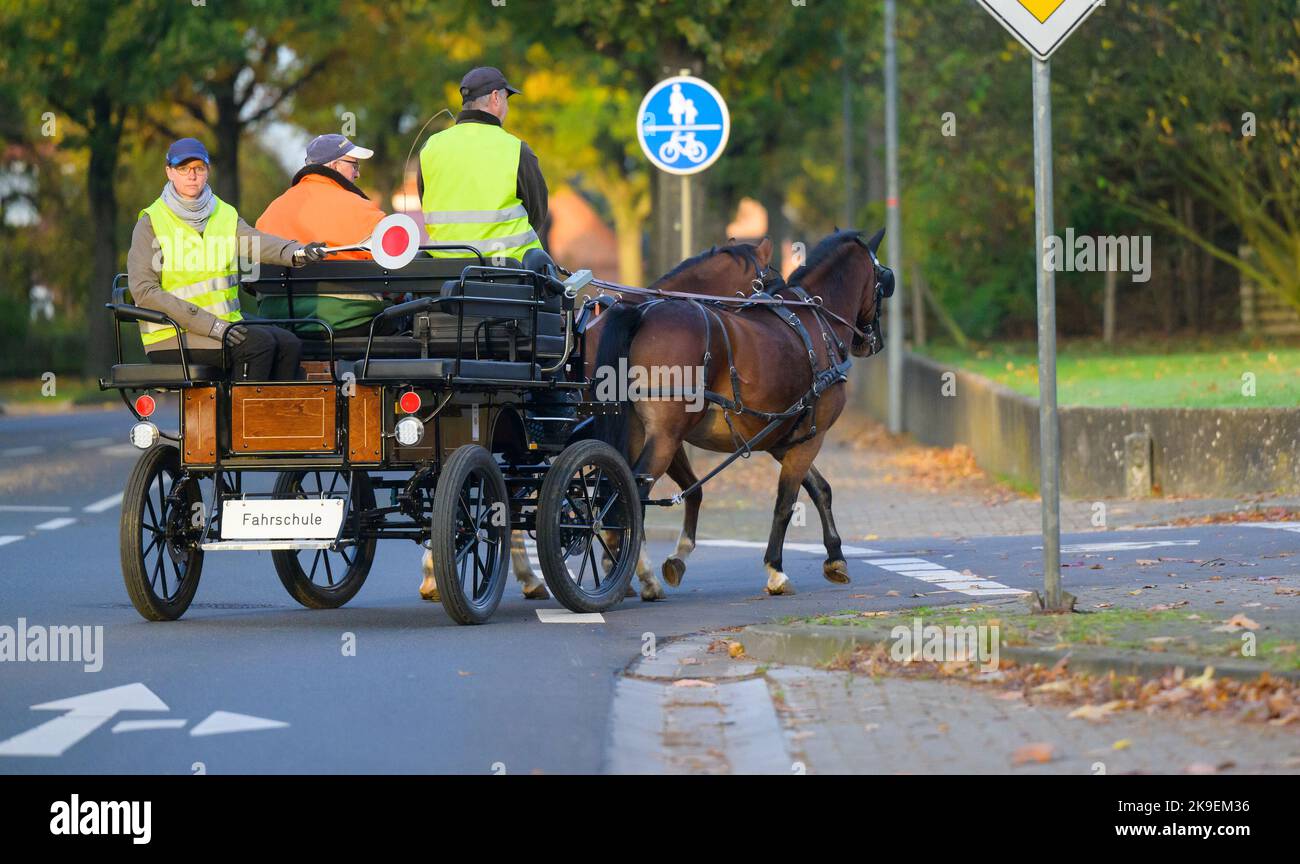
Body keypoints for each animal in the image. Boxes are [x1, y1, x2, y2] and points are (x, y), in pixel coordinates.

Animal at [595, 226, 889, 597]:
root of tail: (642, 315)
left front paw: (835, 557)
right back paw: (641, 573)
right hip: (665, 437)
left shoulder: (784, 439)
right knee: (634, 492)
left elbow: (821, 490)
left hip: (639, 432)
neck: (816, 324)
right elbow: (785, 503)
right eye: (884, 282)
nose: (873, 341)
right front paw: (776, 569)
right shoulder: (812, 438)